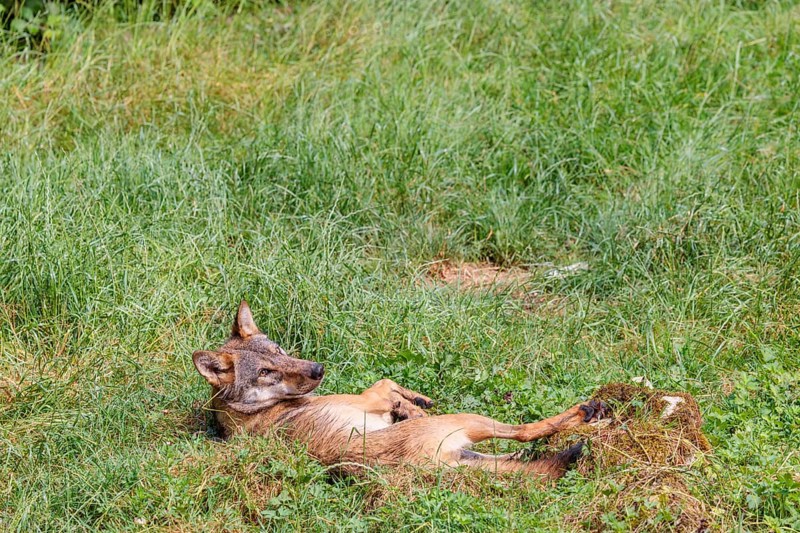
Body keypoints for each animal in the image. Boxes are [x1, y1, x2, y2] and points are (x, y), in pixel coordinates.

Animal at [193, 301, 608, 480]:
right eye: (265, 371)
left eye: (279, 352)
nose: (318, 369)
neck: (250, 412)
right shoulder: (367, 398)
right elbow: (384, 384)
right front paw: (413, 404)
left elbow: (391, 387)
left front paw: (413, 402)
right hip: (470, 421)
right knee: (529, 431)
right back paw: (591, 416)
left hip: (473, 452)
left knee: (521, 459)